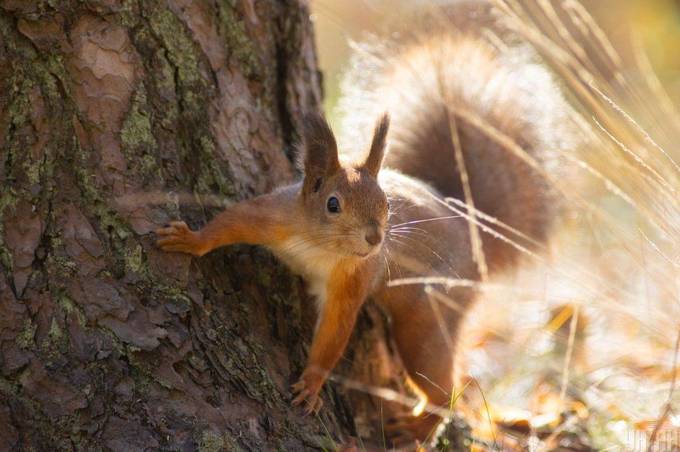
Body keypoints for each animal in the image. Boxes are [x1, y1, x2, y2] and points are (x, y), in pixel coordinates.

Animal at [155, 9, 572, 444]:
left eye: (387, 203)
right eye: (332, 204)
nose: (374, 238)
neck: (323, 247)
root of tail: (472, 233)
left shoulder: (355, 277)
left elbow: (335, 331)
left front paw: (312, 383)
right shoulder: (275, 217)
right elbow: (232, 221)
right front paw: (190, 240)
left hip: (427, 312)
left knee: (444, 387)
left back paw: (417, 429)